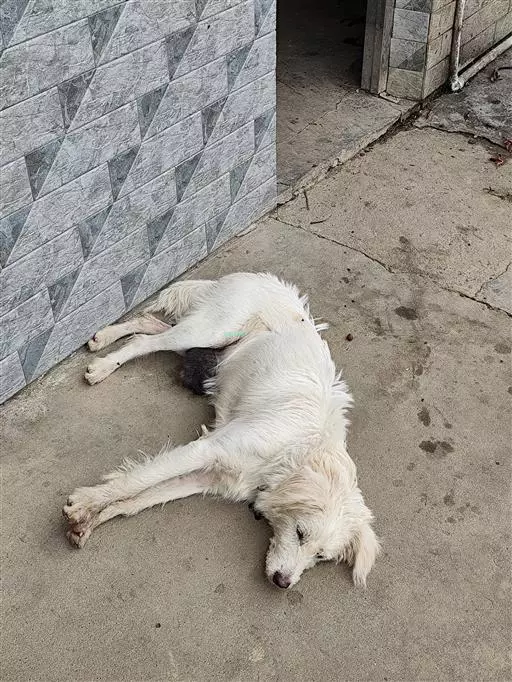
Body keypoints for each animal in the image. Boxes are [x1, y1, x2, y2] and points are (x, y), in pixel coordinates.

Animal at [63, 273, 379, 589]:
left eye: (321, 557)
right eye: (300, 533)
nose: (282, 583)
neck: (293, 453)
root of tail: (261, 277)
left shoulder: (210, 478)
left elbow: (141, 499)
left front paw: (91, 520)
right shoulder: (208, 449)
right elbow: (137, 480)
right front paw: (84, 501)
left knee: (149, 325)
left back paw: (104, 338)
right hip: (209, 332)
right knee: (147, 341)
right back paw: (104, 366)